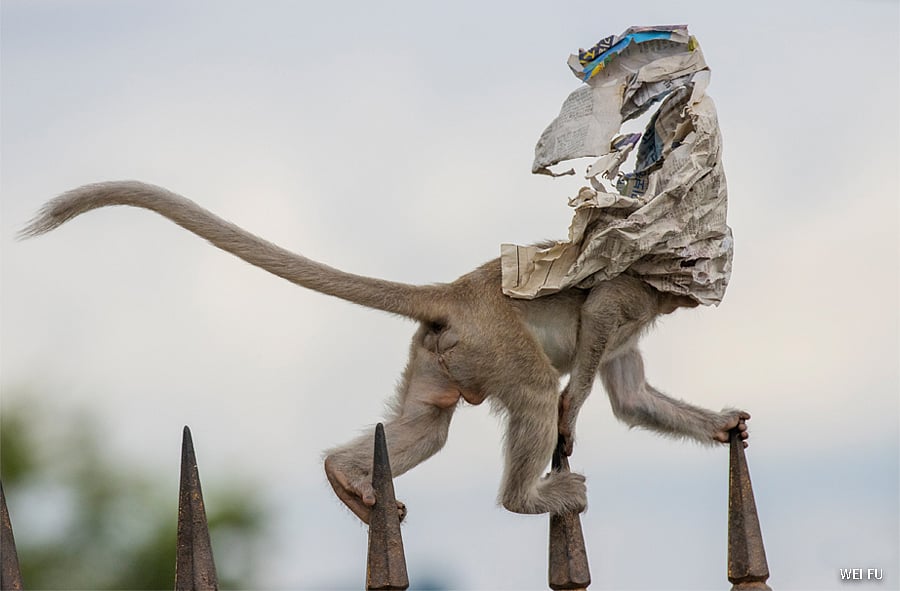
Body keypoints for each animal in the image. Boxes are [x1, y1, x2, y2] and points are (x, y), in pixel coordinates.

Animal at [20, 180, 750, 524]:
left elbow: (630, 397)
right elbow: (592, 327)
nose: (705, 288)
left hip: (444, 354)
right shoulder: (627, 298)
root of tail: (454, 293)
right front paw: (573, 411)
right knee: (534, 391)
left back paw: (347, 476)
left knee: (428, 424)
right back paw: (528, 496)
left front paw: (724, 427)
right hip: (496, 341)